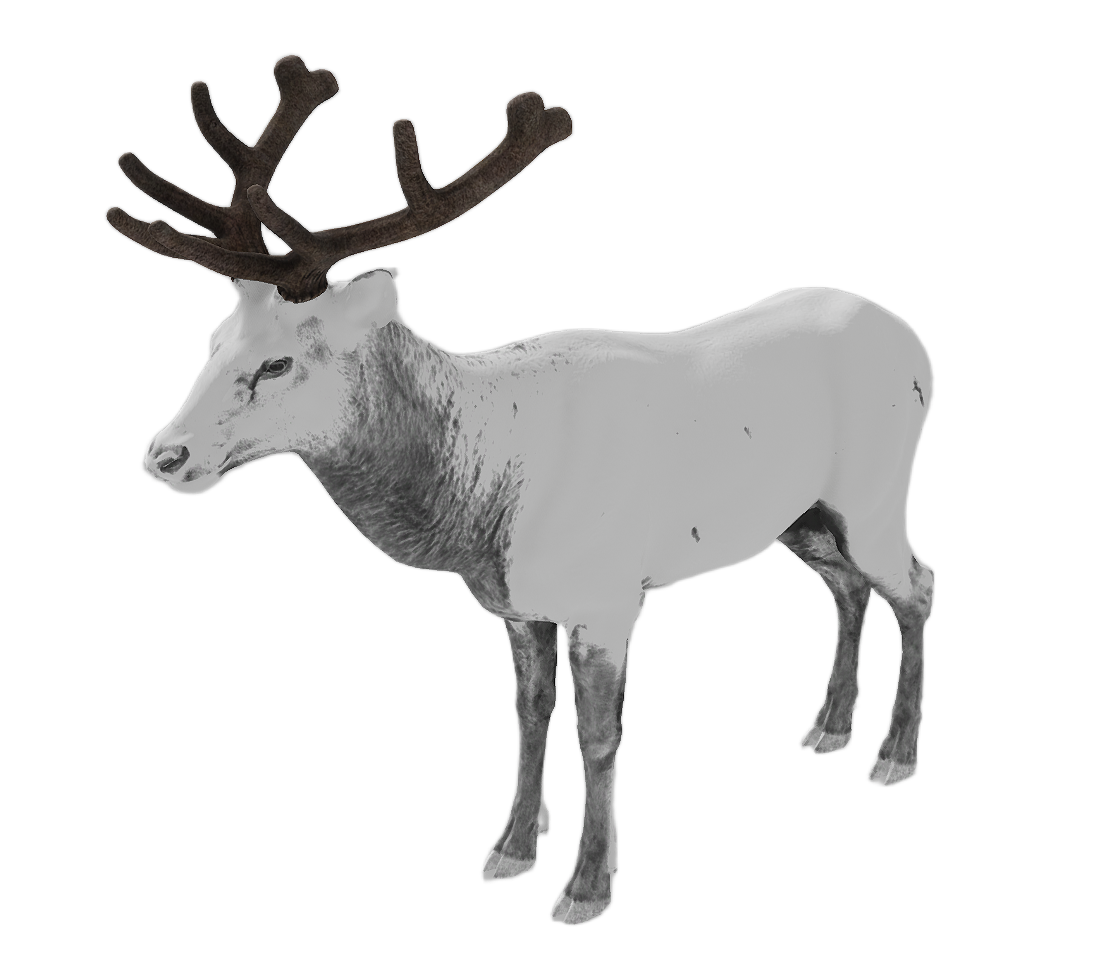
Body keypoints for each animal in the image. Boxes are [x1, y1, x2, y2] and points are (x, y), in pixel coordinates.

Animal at [107, 52, 936, 927]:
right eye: (212, 341)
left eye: (277, 363)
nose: (164, 454)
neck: (483, 504)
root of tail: (916, 341)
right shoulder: (515, 603)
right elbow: (530, 714)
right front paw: (509, 847)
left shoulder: (607, 595)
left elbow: (599, 737)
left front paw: (586, 886)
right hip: (800, 518)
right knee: (847, 588)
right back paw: (829, 726)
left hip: (877, 492)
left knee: (917, 584)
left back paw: (893, 754)